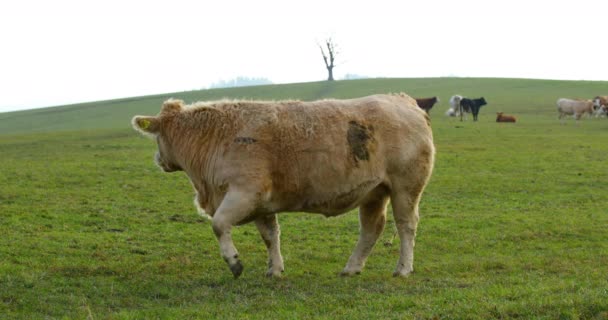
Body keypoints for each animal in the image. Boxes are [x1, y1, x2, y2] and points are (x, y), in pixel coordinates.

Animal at [132, 93, 436, 278]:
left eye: (156, 137)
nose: (159, 160)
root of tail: (404, 100)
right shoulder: (260, 204)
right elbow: (270, 236)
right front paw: (274, 269)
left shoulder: (243, 193)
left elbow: (219, 225)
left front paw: (234, 261)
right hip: (374, 192)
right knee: (372, 228)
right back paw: (351, 268)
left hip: (406, 188)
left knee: (406, 226)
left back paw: (403, 268)